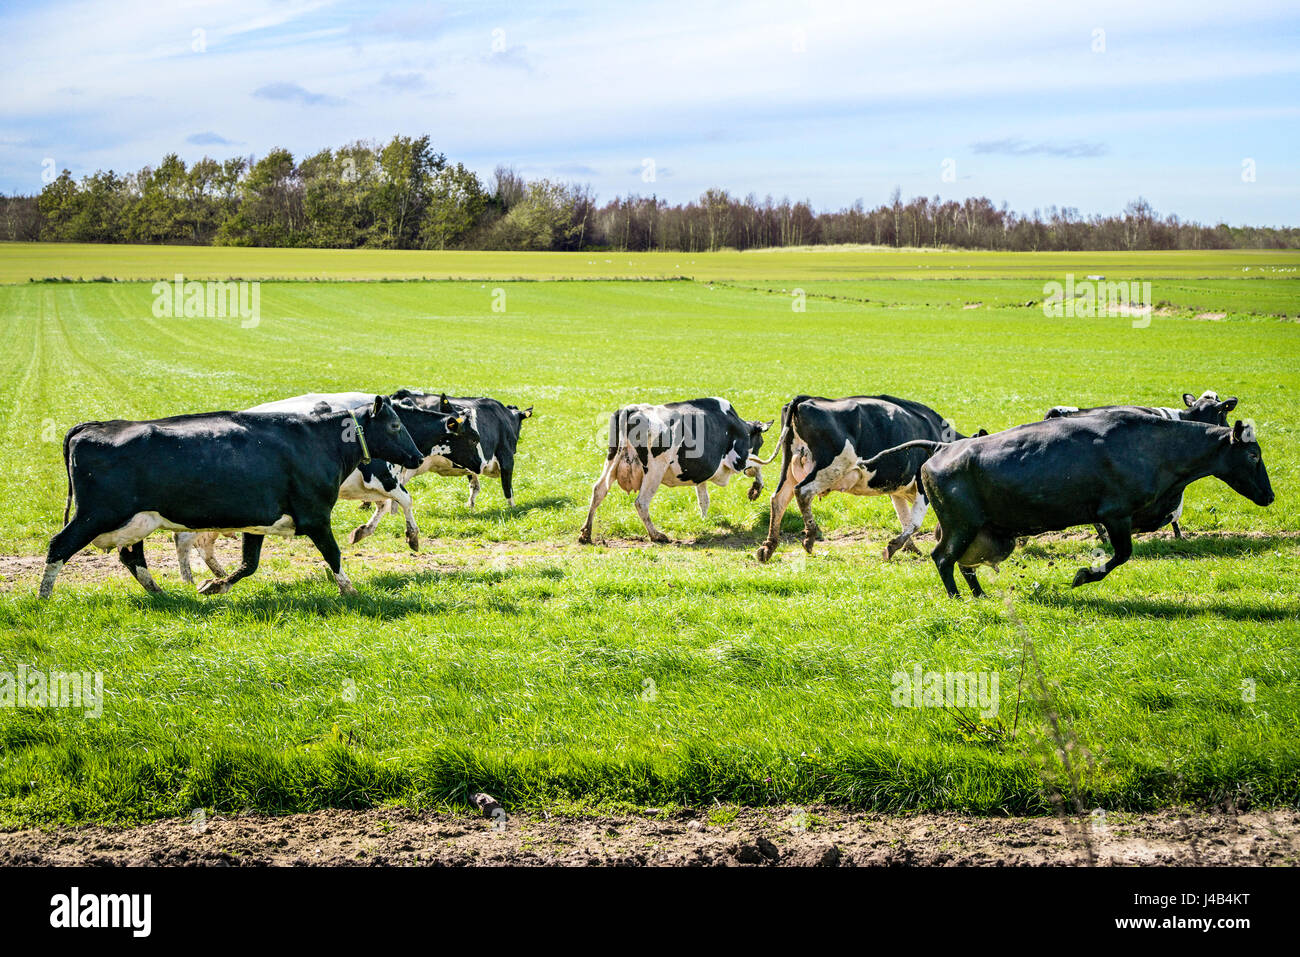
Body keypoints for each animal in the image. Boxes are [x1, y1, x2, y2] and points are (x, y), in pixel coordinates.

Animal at [40, 396, 426, 598]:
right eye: (395, 426)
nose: (417, 456)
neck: (318, 440)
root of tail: (95, 426)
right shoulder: (316, 516)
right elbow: (333, 554)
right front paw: (350, 591)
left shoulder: (258, 522)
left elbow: (248, 564)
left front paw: (214, 585)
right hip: (96, 514)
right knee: (60, 545)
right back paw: (44, 598)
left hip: (136, 521)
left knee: (131, 557)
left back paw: (162, 596)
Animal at [172, 393, 477, 582]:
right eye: (473, 438)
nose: (480, 465)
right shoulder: (382, 476)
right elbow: (405, 500)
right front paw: (412, 537)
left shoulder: (368, 484)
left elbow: (383, 505)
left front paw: (361, 531)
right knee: (186, 538)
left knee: (198, 540)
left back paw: (215, 575)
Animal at [578, 398, 773, 544]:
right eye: (761, 442)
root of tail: (631, 409)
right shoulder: (738, 460)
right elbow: (758, 465)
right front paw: (756, 489)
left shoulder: (702, 474)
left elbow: (704, 500)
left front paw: (704, 521)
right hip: (655, 470)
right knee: (641, 502)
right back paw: (657, 535)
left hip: (612, 459)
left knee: (599, 490)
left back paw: (586, 533)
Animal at [756, 394, 969, 564]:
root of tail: (805, 400)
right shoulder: (921, 486)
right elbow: (914, 523)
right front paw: (892, 548)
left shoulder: (896, 488)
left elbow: (904, 518)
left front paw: (910, 548)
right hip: (829, 467)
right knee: (803, 491)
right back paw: (810, 537)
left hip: (789, 467)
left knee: (778, 499)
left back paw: (768, 547)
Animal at [920, 412, 1273, 598]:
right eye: (1253, 455)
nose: (1270, 496)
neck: (1157, 448)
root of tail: (940, 450)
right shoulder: (1115, 515)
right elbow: (1121, 555)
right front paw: (1083, 575)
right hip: (961, 526)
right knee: (942, 558)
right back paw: (957, 598)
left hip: (975, 530)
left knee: (963, 564)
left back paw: (979, 595)